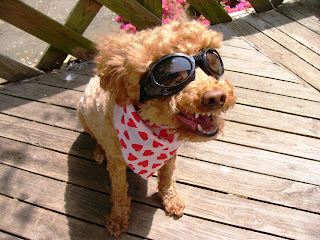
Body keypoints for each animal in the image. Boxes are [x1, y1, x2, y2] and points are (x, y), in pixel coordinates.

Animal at [79, 18, 236, 236]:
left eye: (211, 60)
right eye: (170, 75)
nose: (217, 97)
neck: (156, 128)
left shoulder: (170, 155)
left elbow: (167, 178)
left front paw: (171, 198)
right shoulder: (117, 164)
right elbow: (119, 191)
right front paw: (118, 218)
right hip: (83, 117)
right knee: (96, 138)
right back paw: (99, 151)